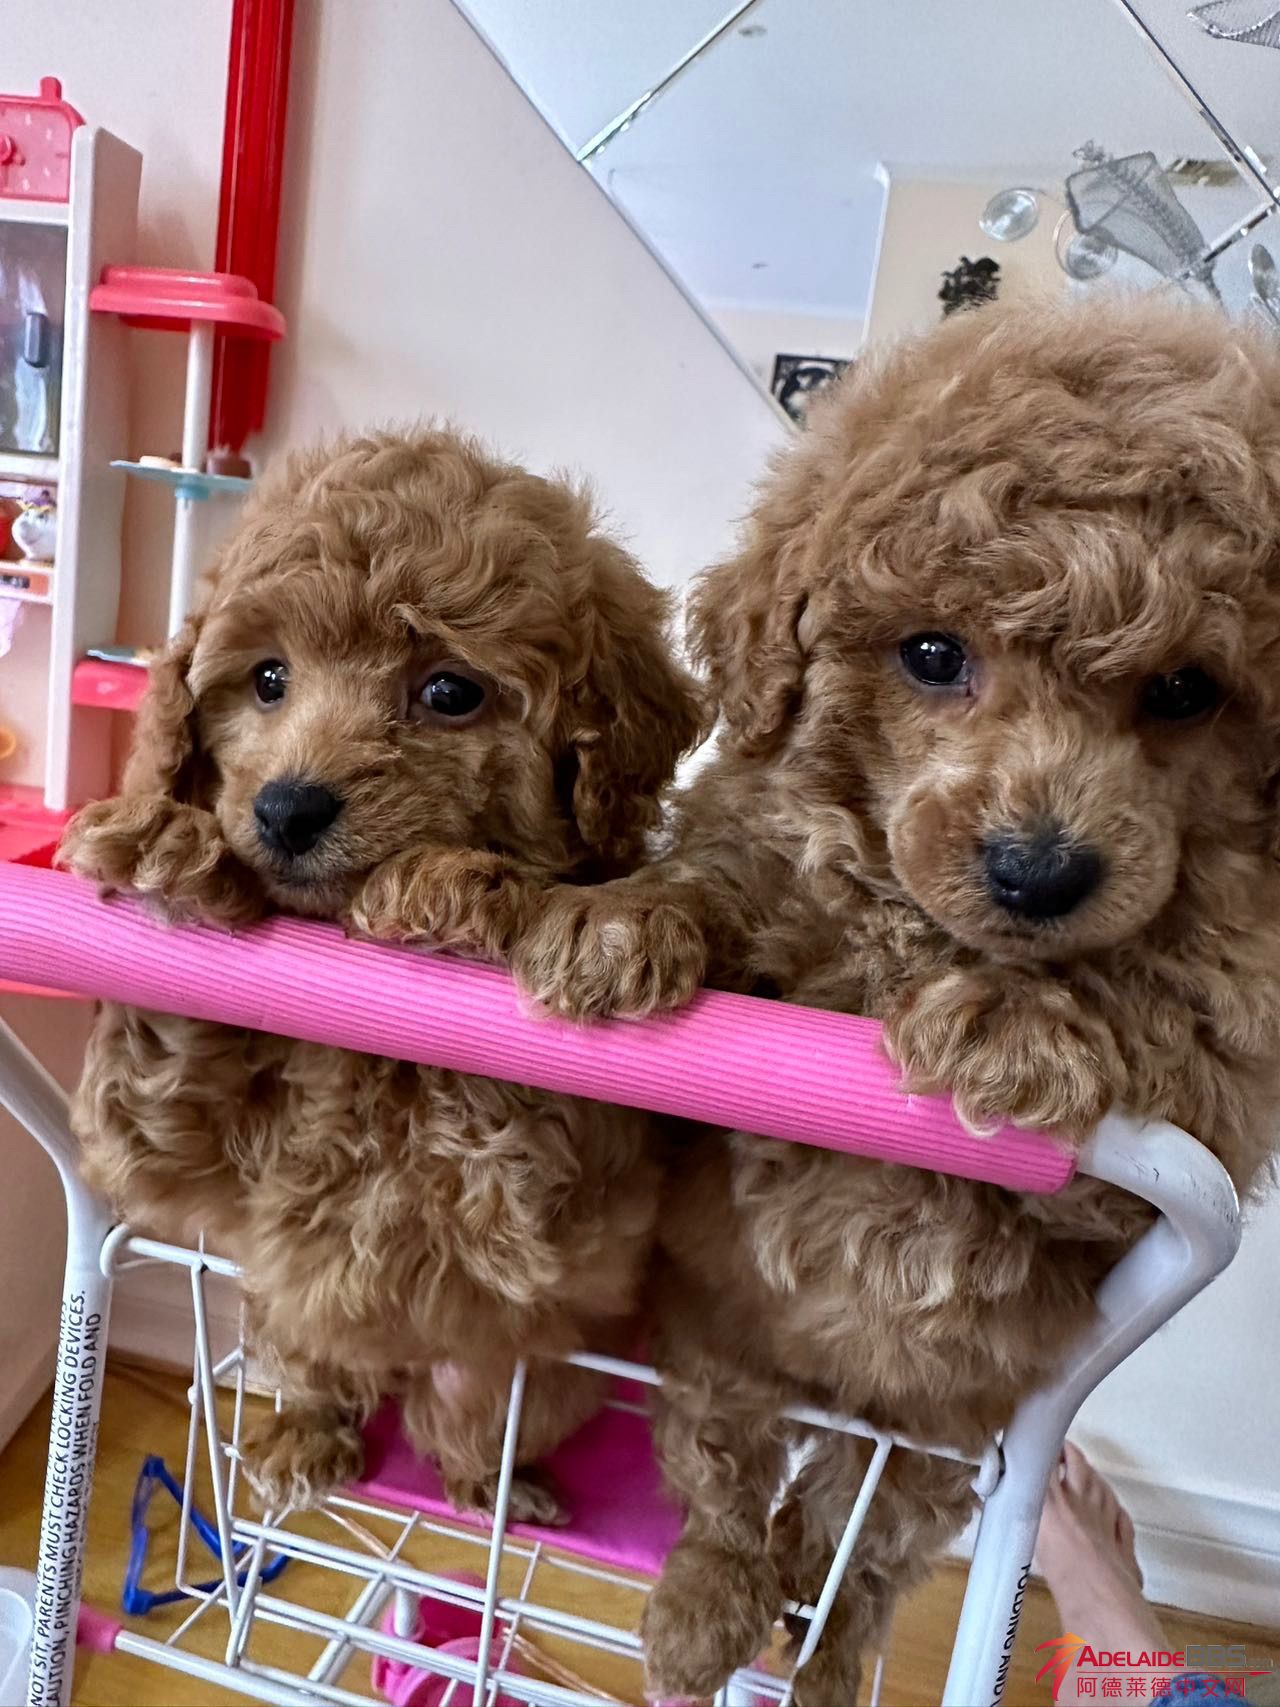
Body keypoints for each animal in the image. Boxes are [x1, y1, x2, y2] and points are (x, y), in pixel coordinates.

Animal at [60, 427, 706, 1519]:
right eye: (266, 680)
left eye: (449, 692)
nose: (285, 808)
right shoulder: (172, 1143)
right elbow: (156, 1073)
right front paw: (163, 845)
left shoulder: (543, 1184)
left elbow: (497, 1100)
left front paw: (496, 899)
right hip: (282, 1312)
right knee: (320, 1373)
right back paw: (302, 1440)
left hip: (522, 1374)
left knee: (465, 1425)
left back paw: (498, 1490)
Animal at [515, 298, 1280, 1699]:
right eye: (931, 655)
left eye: (1184, 692)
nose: (1039, 872)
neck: (918, 931)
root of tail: (840, 1396)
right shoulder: (766, 881)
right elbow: (723, 891)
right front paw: (617, 920)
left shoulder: (1204, 1119)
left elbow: (1152, 1041)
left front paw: (1013, 1026)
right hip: (721, 1351)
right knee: (729, 1484)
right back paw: (703, 1607)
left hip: (935, 1447)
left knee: (851, 1555)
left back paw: (814, 1649)